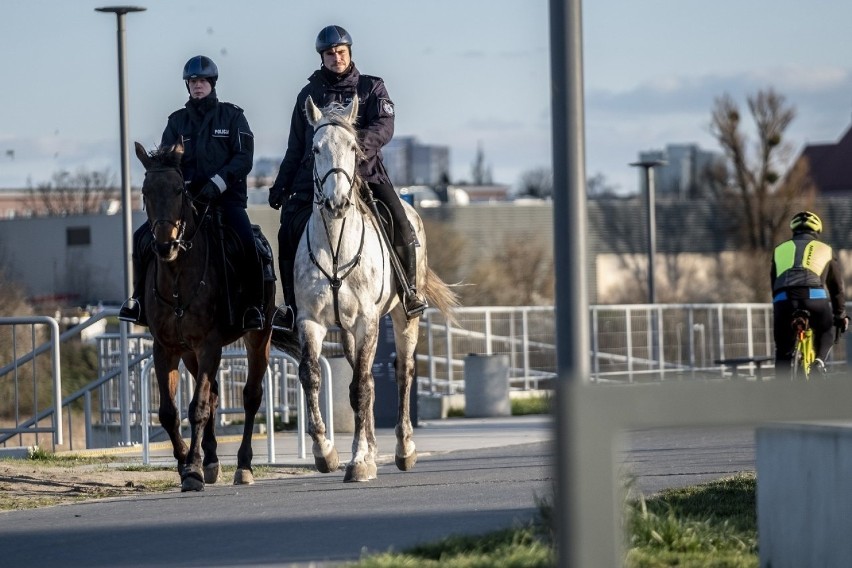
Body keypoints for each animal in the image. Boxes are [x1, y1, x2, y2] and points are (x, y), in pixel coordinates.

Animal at [134, 141, 276, 492]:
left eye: (179, 191)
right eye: (145, 191)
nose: (165, 245)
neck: (176, 278)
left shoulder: (209, 344)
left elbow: (196, 408)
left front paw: (193, 469)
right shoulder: (167, 348)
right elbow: (170, 412)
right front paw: (186, 462)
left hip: (259, 336)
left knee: (251, 396)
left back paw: (243, 465)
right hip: (191, 354)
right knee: (212, 396)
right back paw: (211, 460)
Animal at [282, 95, 460, 482]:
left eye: (353, 147)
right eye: (315, 149)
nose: (336, 202)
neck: (336, 247)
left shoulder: (368, 321)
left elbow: (362, 387)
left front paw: (360, 459)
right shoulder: (310, 321)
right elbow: (313, 377)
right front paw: (326, 452)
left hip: (403, 319)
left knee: (403, 373)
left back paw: (404, 449)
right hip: (349, 333)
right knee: (368, 381)